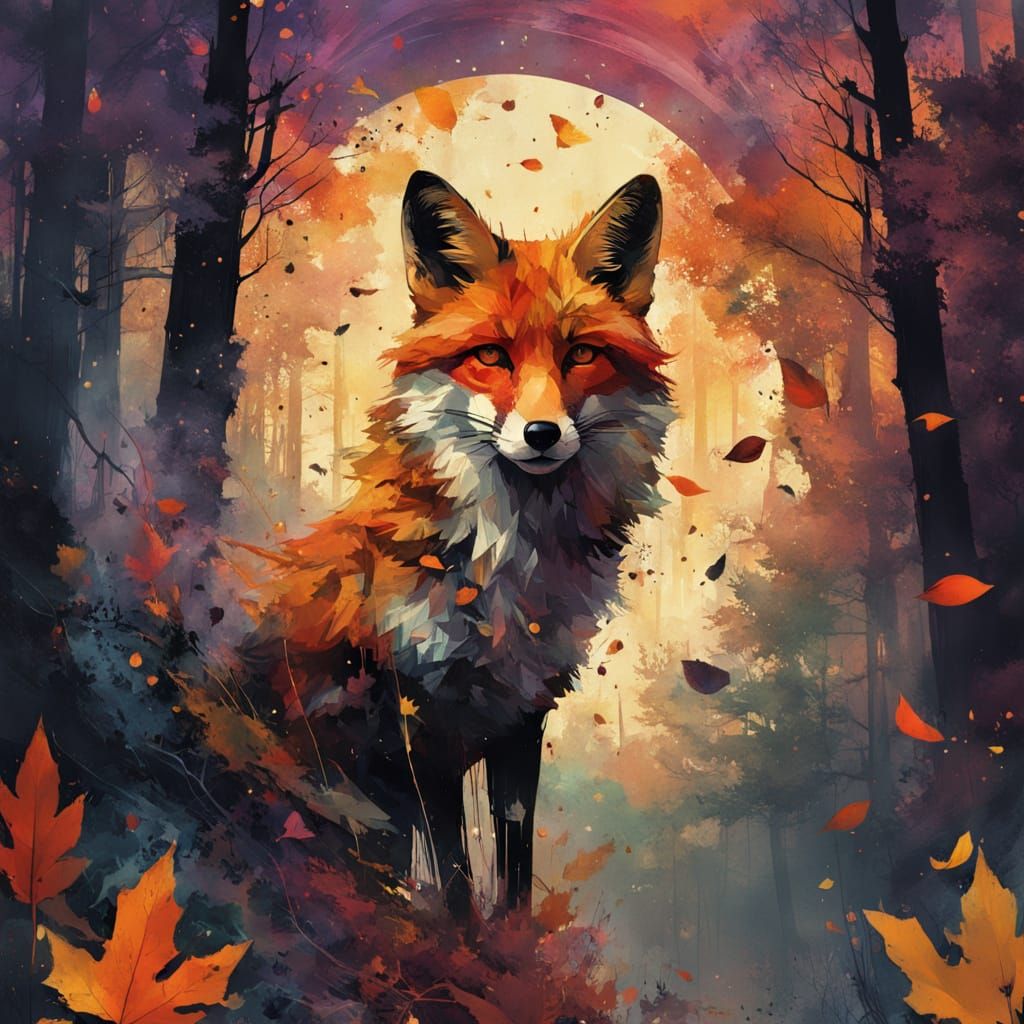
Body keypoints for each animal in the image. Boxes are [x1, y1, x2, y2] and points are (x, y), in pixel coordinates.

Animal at [240, 170, 673, 917]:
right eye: (491, 355)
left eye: (581, 354)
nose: (541, 434)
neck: (505, 568)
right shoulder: (416, 715)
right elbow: (452, 874)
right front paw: (463, 939)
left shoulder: (524, 709)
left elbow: (512, 861)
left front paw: (512, 941)